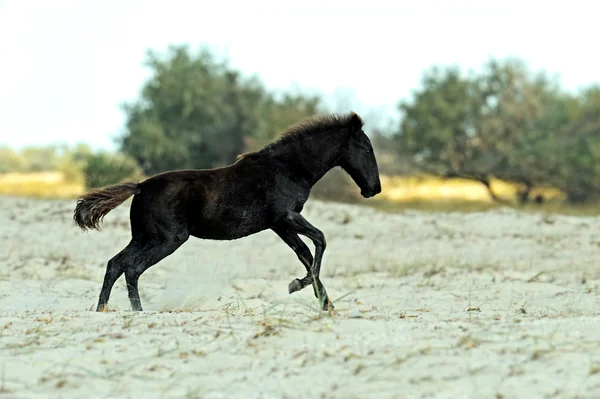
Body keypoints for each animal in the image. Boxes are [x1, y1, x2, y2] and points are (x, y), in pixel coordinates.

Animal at [74, 111, 380, 312]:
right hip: (167, 239)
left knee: (115, 264)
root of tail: (139, 187)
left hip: (143, 237)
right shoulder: (286, 217)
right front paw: (298, 286)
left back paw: (102, 310)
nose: (374, 189)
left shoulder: (280, 224)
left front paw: (326, 304)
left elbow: (305, 253)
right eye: (365, 148)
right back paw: (137, 312)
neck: (289, 168)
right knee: (132, 268)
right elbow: (320, 240)